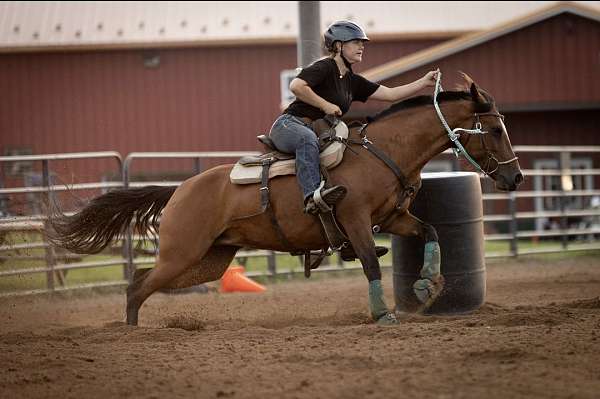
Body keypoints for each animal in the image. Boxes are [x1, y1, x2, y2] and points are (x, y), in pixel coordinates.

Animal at [47, 75, 520, 328]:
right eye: (496, 129)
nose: (515, 177)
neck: (383, 150)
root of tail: (179, 189)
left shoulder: (393, 218)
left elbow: (431, 230)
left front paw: (427, 285)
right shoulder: (354, 219)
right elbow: (370, 262)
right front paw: (383, 313)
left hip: (207, 259)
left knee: (142, 280)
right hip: (183, 253)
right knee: (138, 285)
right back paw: (131, 332)